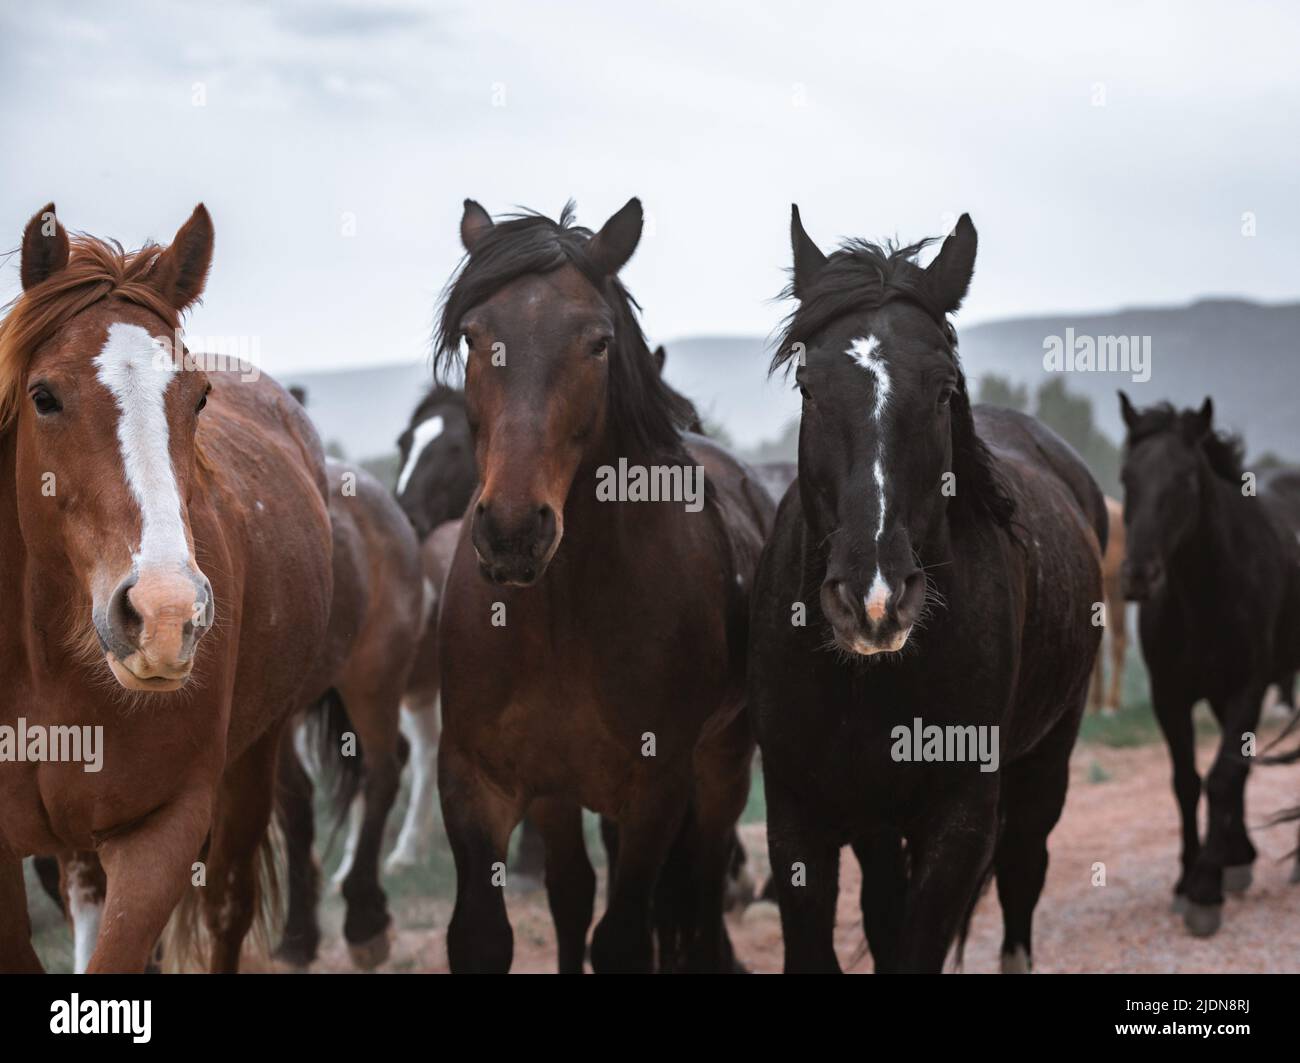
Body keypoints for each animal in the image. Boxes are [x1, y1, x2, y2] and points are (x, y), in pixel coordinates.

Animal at [0, 204, 334, 972]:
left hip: (255, 758)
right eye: (43, 396)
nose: (163, 615)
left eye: (197, 396)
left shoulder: (164, 827)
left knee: (227, 908)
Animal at [434, 198, 772, 972]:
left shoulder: (656, 787)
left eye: (597, 342)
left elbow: (623, 936)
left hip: (723, 763)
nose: (513, 530)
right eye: (474, 336)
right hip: (561, 793)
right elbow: (484, 933)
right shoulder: (477, 778)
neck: (560, 614)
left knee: (700, 885)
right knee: (573, 891)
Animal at [750, 207, 1106, 974]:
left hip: (1046, 760)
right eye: (809, 385)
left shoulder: (960, 818)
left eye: (944, 388)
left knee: (1023, 872)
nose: (874, 598)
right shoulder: (797, 810)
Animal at [1118, 394, 1300, 935]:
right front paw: (1190, 878)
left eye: (1184, 480)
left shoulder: (1249, 687)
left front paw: (1205, 889)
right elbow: (1189, 780)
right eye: (1127, 478)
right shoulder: (1171, 694)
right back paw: (1239, 854)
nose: (1138, 575)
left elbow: (1222, 775)